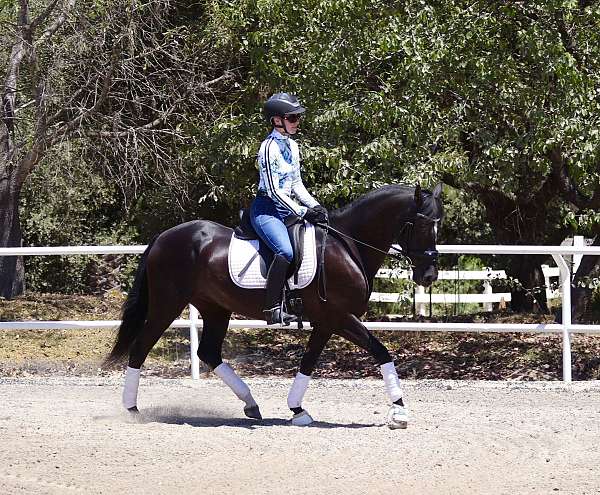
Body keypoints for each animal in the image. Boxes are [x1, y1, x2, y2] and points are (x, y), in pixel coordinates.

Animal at [108, 185, 442, 430]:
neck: (347, 246)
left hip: (216, 308)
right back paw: (132, 409)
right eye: (424, 225)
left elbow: (308, 363)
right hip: (167, 305)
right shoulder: (339, 317)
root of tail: (164, 237)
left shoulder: (326, 322)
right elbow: (381, 351)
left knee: (209, 352)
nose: (429, 276)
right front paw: (399, 412)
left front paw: (298, 410)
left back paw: (251, 403)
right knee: (140, 347)